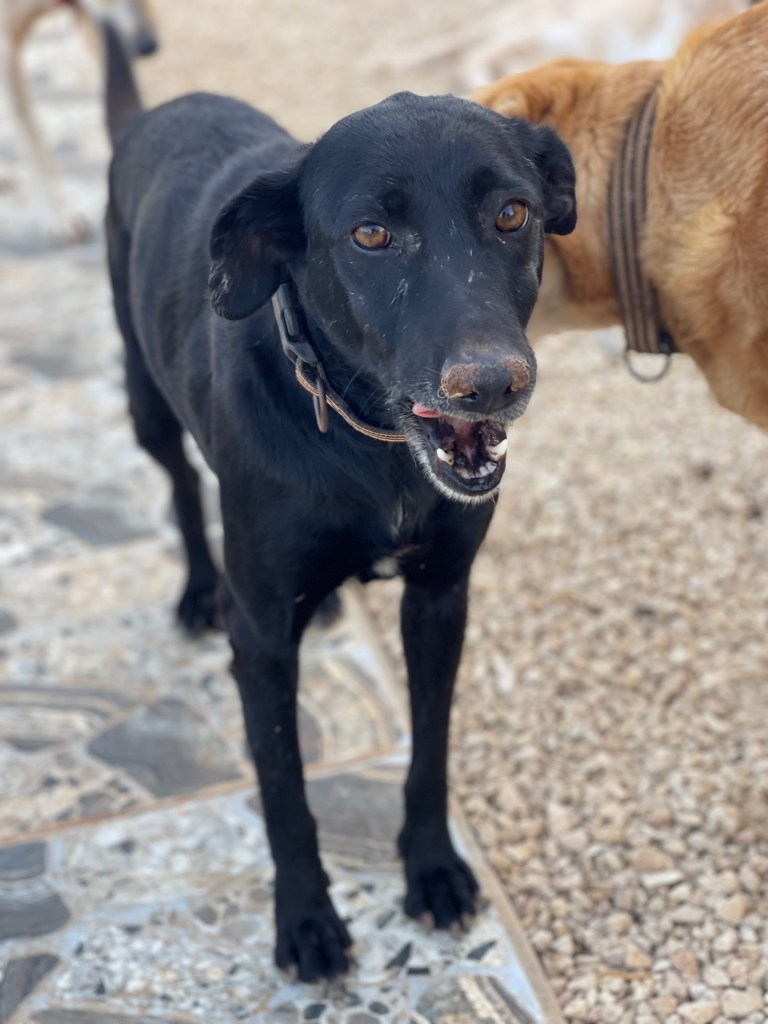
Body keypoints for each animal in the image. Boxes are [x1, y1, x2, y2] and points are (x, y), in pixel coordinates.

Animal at [102, 20, 575, 981]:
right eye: (371, 233)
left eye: (512, 214)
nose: (492, 385)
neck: (372, 450)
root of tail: (156, 111)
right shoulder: (259, 645)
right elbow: (284, 790)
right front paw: (307, 920)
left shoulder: (440, 599)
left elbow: (429, 751)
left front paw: (432, 868)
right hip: (144, 402)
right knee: (180, 484)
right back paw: (198, 588)